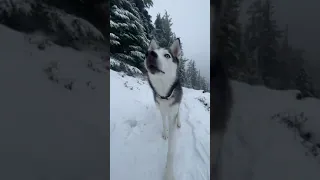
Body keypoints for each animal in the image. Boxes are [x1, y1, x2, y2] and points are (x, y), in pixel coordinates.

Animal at [145, 39, 182, 180]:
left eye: (167, 55)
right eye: (150, 51)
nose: (150, 54)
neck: (165, 95)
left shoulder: (173, 111)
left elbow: (171, 150)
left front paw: (168, 174)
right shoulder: (161, 109)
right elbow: (164, 122)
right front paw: (165, 133)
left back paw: (179, 122)